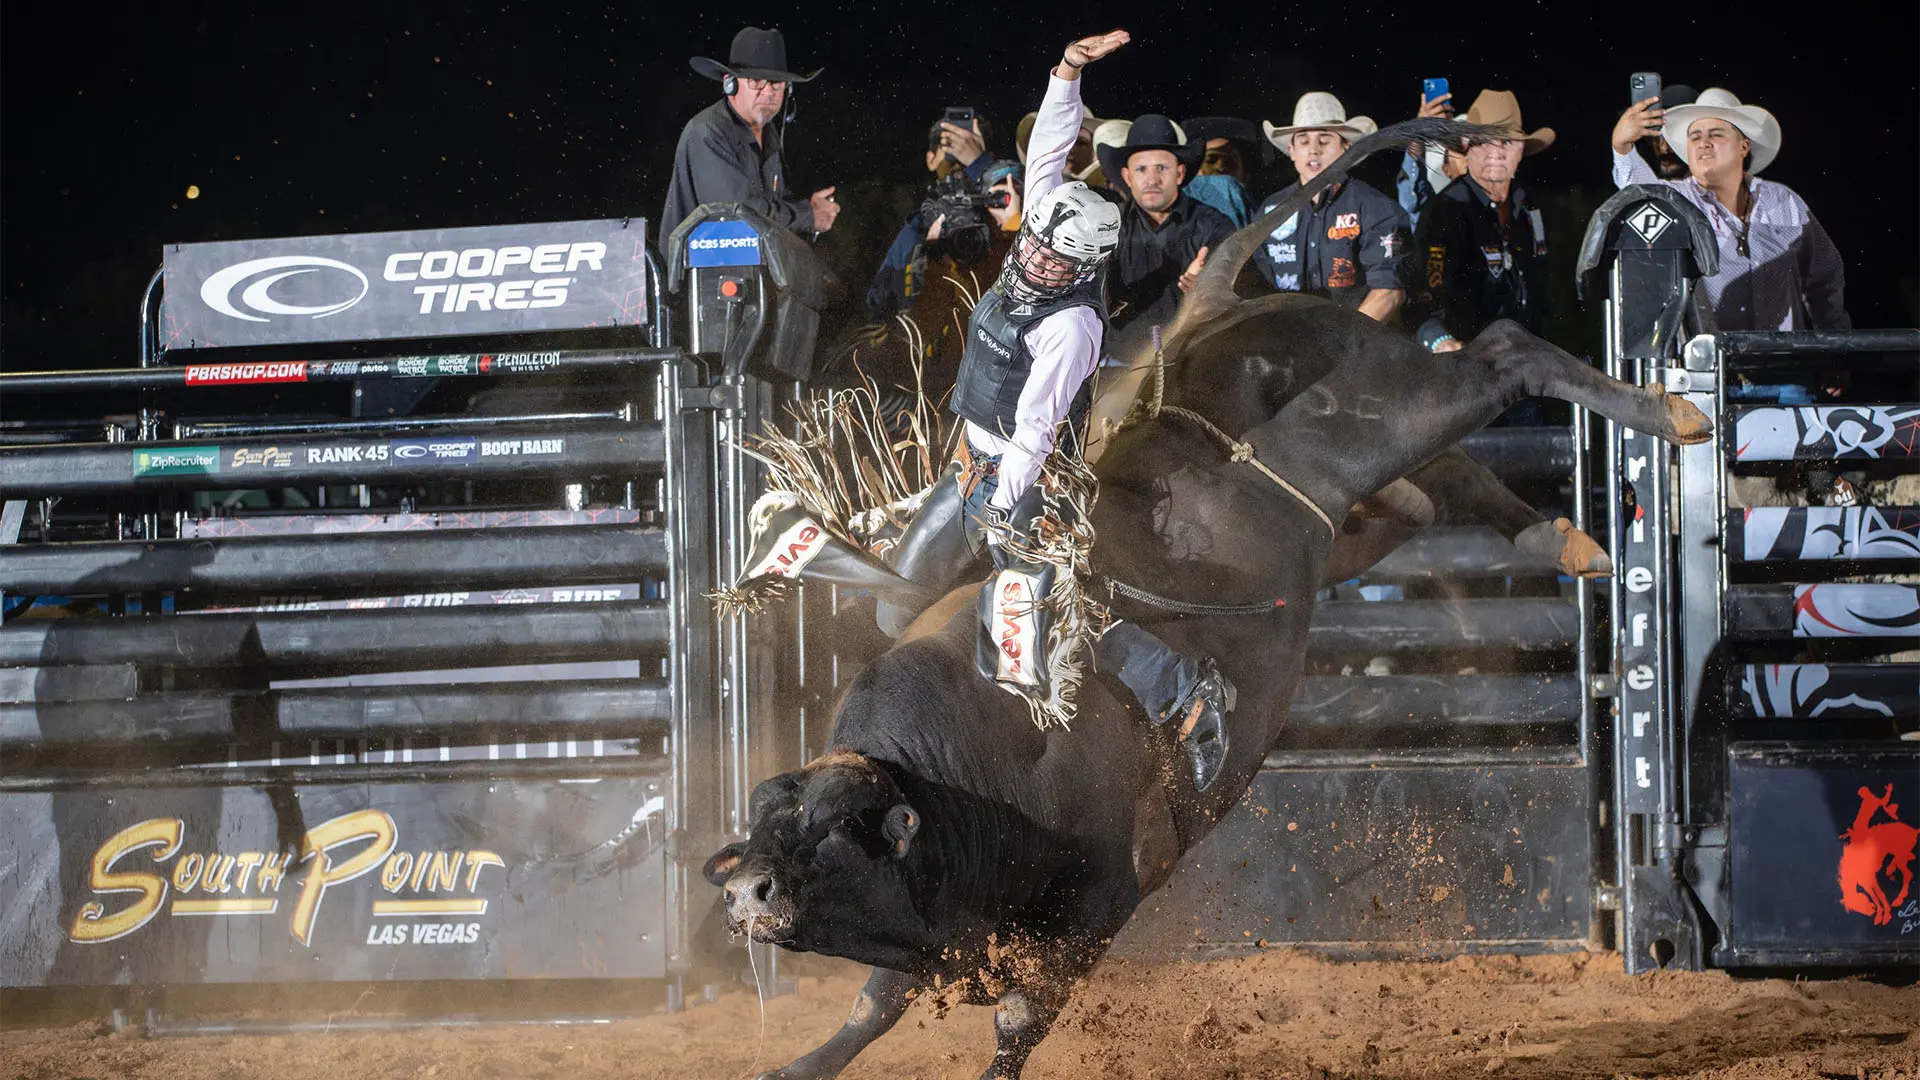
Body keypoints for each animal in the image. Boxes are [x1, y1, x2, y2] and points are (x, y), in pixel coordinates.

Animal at [702, 117, 1712, 1076]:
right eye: (766, 822)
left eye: (837, 829)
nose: (748, 889)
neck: (959, 770)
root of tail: (1216, 304)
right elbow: (872, 1008)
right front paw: (794, 1066)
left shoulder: (1103, 892)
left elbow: (1018, 1015)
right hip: (1347, 504)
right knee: (1434, 489)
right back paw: (1568, 539)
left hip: (1371, 421)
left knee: (1501, 355)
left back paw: (1670, 413)